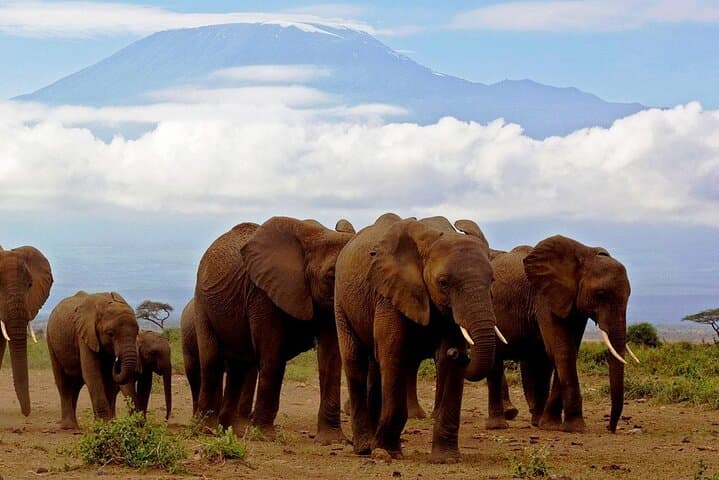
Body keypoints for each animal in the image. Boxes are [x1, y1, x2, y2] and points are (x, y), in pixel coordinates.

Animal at [47, 291, 140, 429]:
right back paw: (69, 427)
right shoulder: (84, 335)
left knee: (76, 385)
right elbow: (92, 374)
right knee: (63, 382)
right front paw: (104, 425)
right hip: (51, 339)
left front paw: (109, 424)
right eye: (110, 333)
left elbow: (108, 379)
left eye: (137, 332)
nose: (117, 363)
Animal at [193, 217, 354, 443]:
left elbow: (331, 357)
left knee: (239, 365)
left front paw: (332, 441)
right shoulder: (262, 292)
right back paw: (206, 430)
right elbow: (272, 353)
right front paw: (264, 436)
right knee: (211, 360)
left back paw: (234, 431)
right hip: (202, 302)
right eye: (331, 276)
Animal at [334, 214, 498, 463]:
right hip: (341, 301)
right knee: (355, 360)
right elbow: (393, 355)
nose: (460, 354)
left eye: (492, 280)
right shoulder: (389, 292)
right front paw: (388, 452)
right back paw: (364, 448)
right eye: (443, 282)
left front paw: (446, 458)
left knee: (374, 365)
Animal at [485, 235, 634, 433]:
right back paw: (498, 425)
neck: (584, 255)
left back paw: (534, 421)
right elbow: (562, 350)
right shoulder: (544, 297)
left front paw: (550, 425)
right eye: (600, 293)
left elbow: (565, 351)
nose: (610, 428)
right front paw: (574, 428)